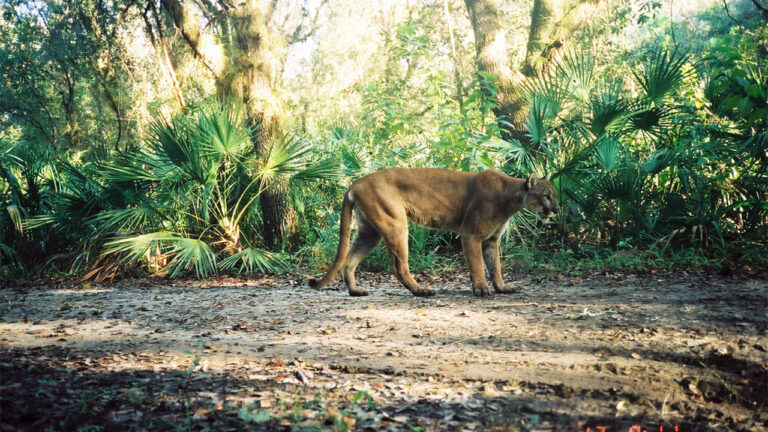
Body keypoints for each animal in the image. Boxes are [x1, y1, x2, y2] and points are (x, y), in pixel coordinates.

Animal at [309, 168, 559, 297]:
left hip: (370, 232)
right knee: (398, 266)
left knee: (349, 261)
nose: (557, 209)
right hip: (396, 225)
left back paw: (355, 291)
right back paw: (421, 291)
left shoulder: (491, 240)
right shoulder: (471, 234)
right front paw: (481, 289)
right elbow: (478, 265)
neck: (511, 199)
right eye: (546, 195)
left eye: (554, 195)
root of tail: (354, 183)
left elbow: (495, 266)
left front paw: (502, 287)